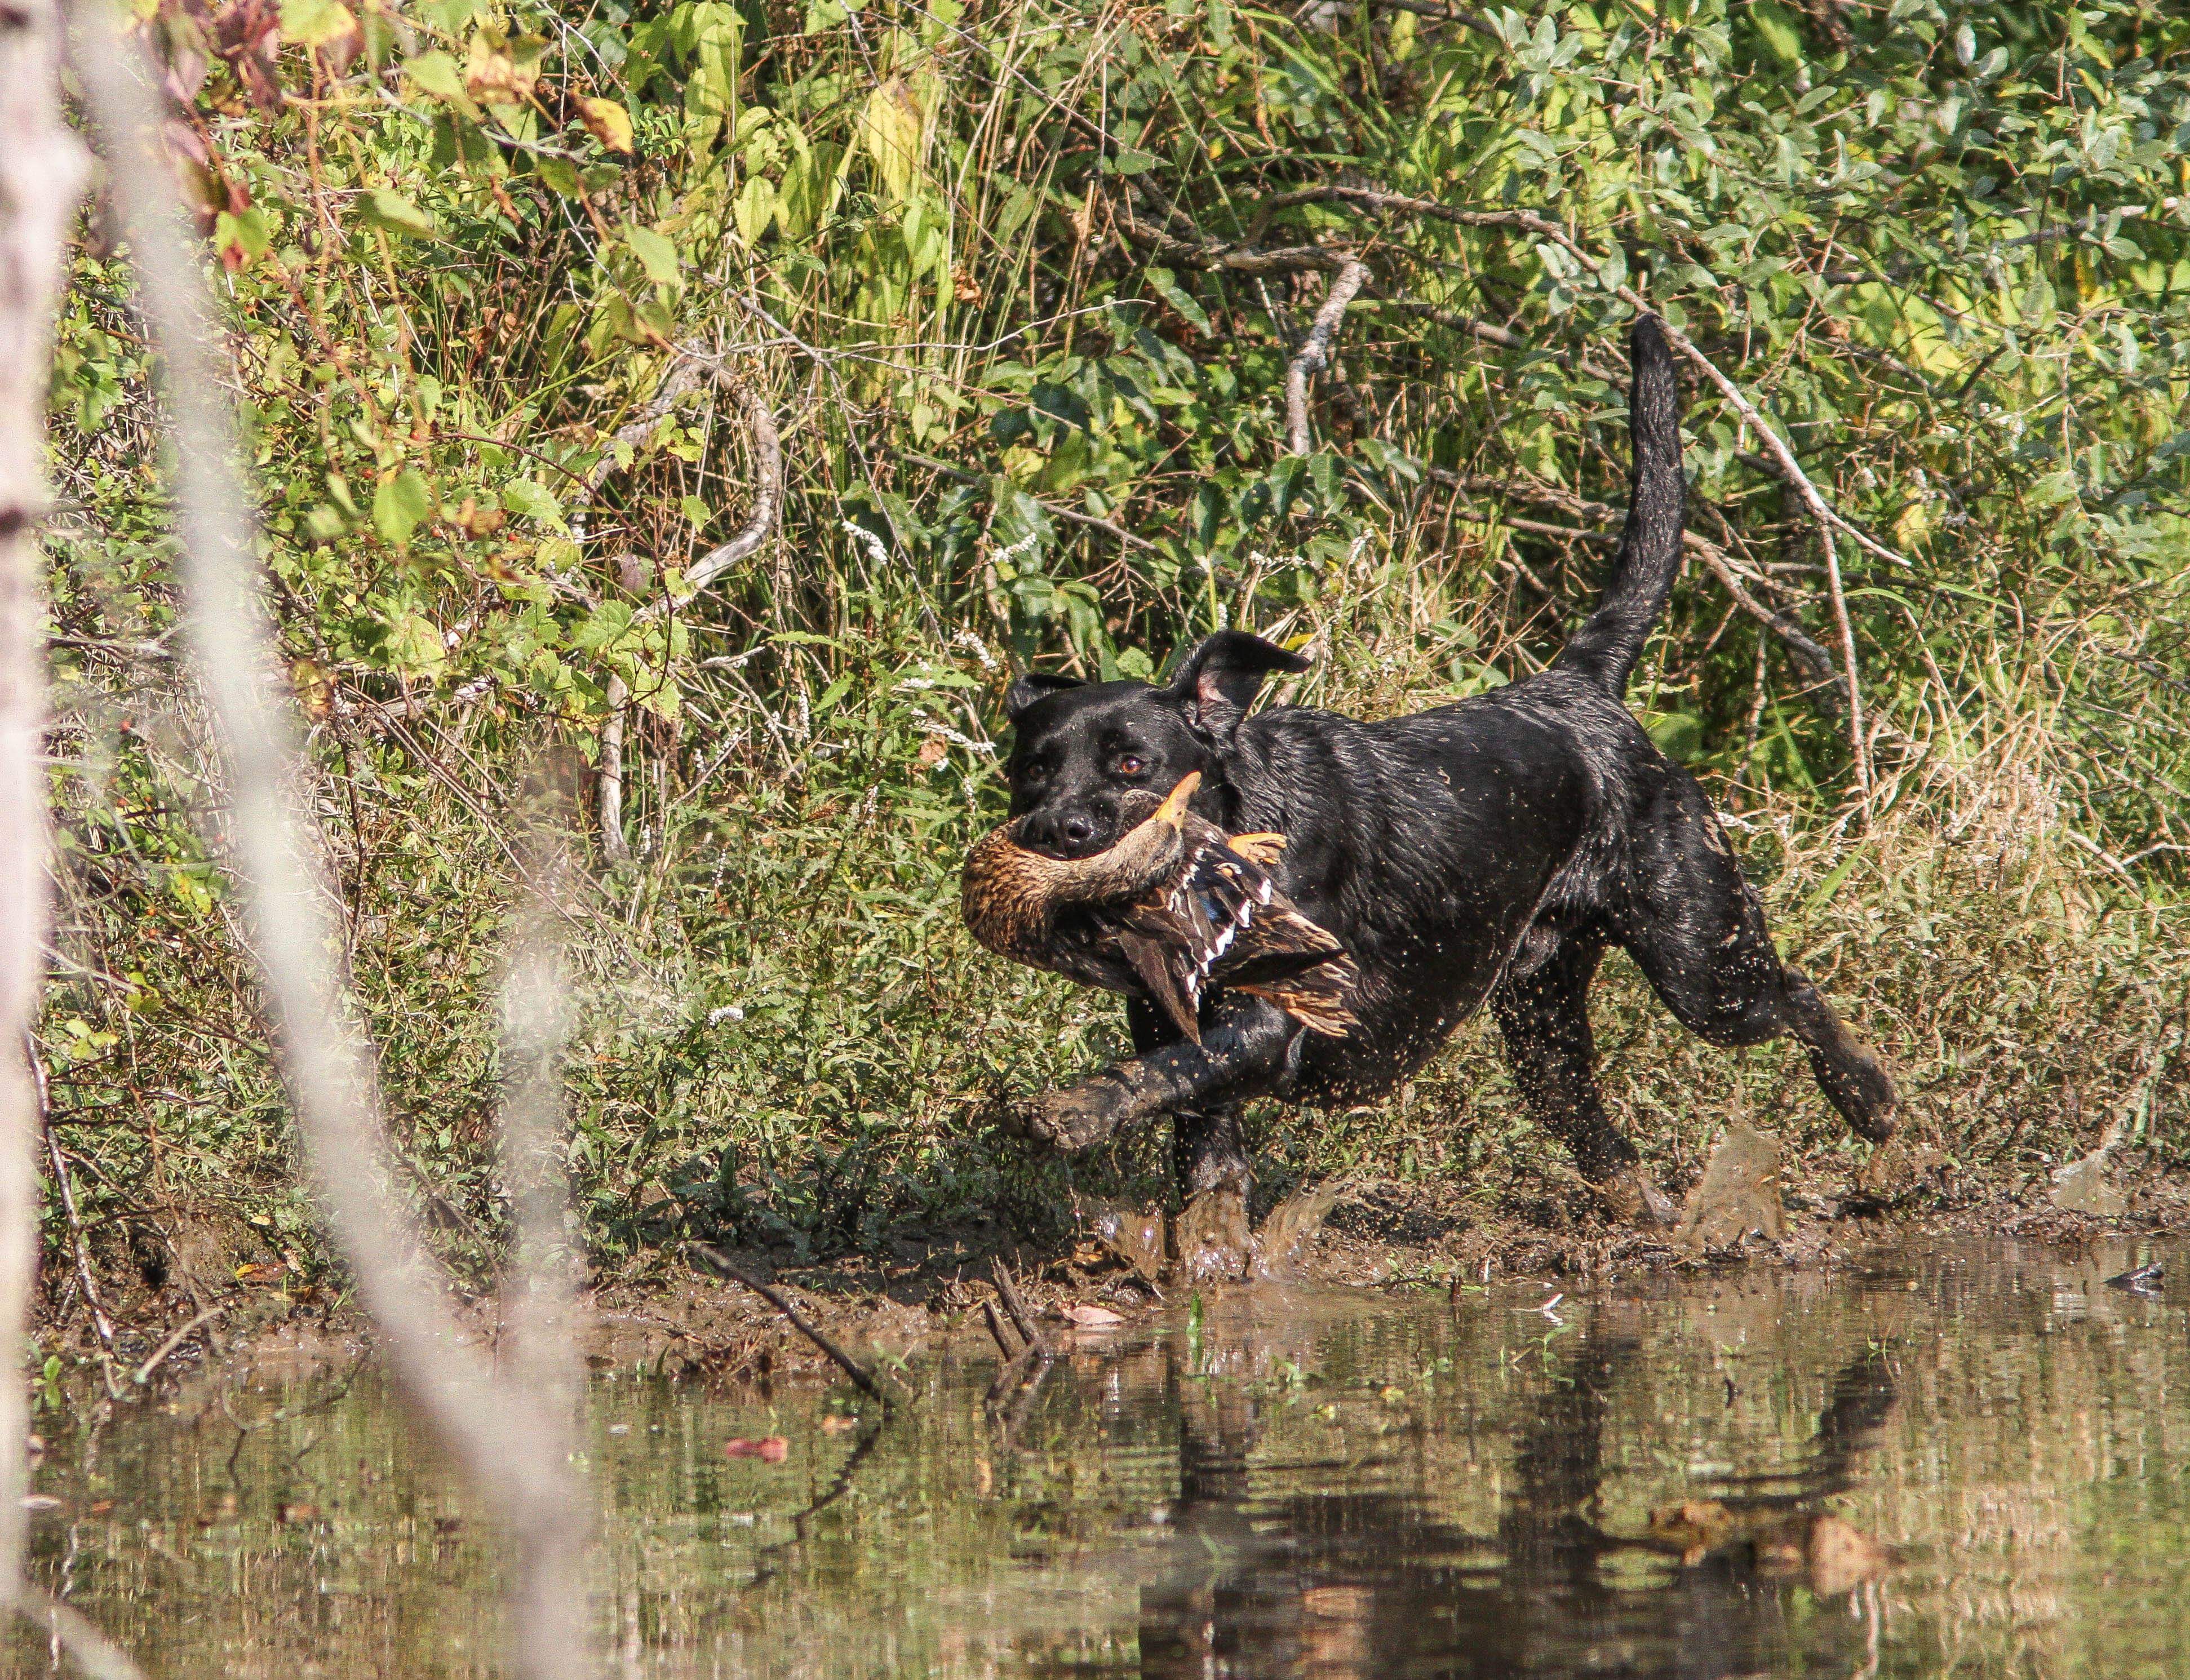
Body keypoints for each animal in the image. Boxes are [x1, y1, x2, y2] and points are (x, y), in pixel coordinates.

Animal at [999, 315, 1901, 1217]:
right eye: (1032, 771)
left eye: (1131, 764)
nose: (1056, 831)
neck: (1234, 833)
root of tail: (1577, 683)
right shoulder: (1183, 1040)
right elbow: (1196, 1145)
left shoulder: (1272, 1018)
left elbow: (1161, 1073)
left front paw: (1074, 1109)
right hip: (1541, 1020)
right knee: (1596, 1132)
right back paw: (1654, 1217)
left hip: (1702, 960)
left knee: (1794, 995)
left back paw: (1872, 1102)